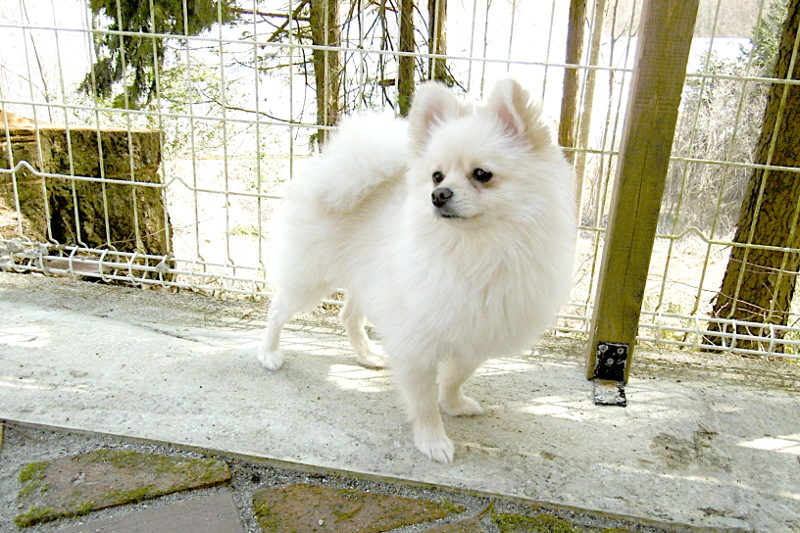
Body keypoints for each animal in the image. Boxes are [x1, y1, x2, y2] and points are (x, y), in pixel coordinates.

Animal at [260, 79, 580, 462]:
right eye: (436, 176)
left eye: (482, 174)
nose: (439, 194)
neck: (477, 251)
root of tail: (331, 167)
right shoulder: (417, 341)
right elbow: (424, 400)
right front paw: (433, 440)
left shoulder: (476, 333)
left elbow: (456, 375)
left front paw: (454, 404)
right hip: (311, 277)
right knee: (278, 310)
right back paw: (269, 353)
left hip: (369, 281)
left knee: (348, 316)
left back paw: (368, 356)